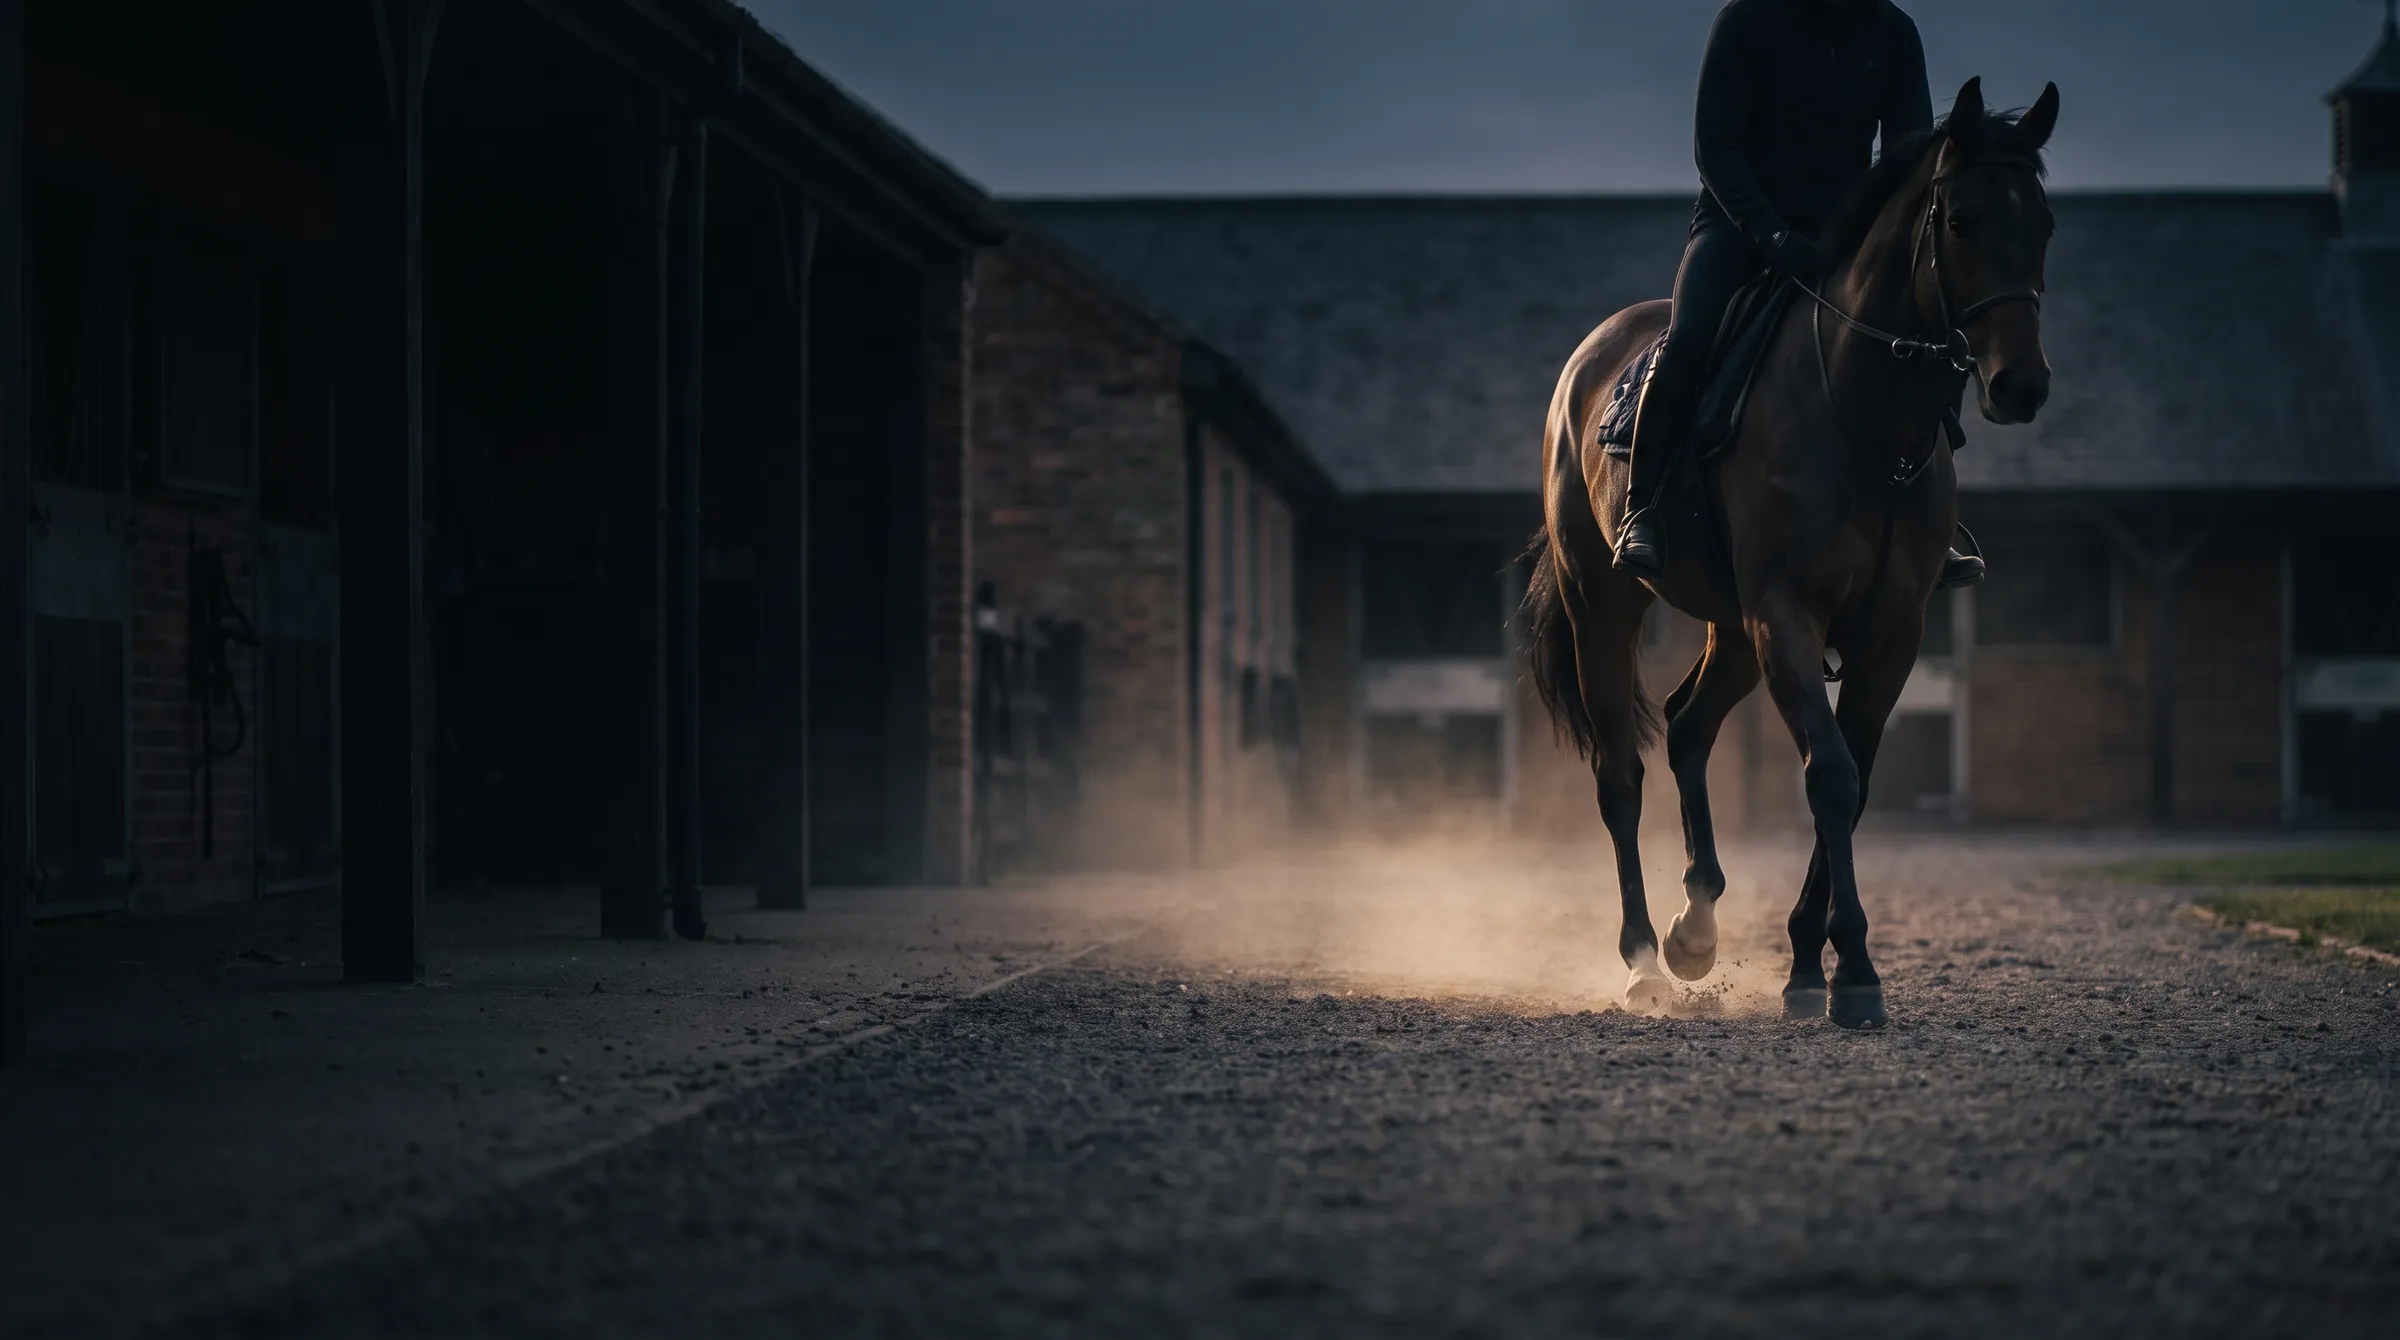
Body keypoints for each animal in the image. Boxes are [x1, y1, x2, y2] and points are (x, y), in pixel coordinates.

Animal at [1519, 78, 2059, 1029]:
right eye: (1959, 220)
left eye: (2045, 223)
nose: (2019, 384)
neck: (1864, 419)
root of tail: (1588, 362)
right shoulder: (1790, 618)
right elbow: (1831, 777)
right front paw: (1852, 974)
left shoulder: (1889, 637)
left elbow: (1856, 780)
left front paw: (1811, 962)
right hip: (1608, 610)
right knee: (1620, 773)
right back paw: (1644, 962)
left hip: (1733, 632)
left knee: (1688, 725)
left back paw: (1696, 929)